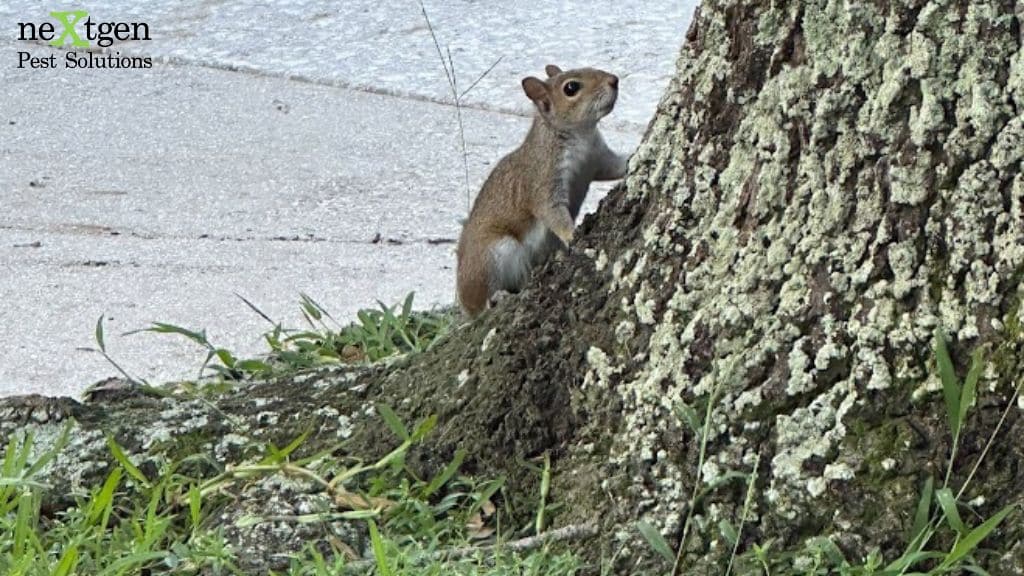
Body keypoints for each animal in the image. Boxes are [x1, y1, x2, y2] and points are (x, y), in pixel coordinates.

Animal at [456, 64, 629, 317]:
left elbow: (617, 167)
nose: (614, 80)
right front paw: (573, 235)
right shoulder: (543, 180)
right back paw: (494, 298)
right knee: (480, 302)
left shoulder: (599, 160)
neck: (581, 136)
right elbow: (552, 212)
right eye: (571, 88)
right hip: (492, 255)